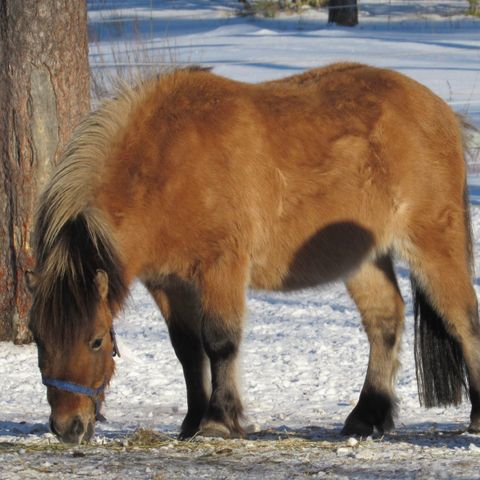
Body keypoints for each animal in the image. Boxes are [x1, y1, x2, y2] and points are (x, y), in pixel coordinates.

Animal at [27, 62, 480, 444]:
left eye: (96, 341)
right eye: (39, 339)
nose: (67, 427)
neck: (166, 163)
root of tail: (442, 113)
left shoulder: (221, 267)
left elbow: (219, 341)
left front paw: (217, 421)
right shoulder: (167, 283)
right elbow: (186, 349)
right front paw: (191, 422)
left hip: (432, 244)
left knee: (463, 320)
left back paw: (474, 417)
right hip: (363, 258)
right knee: (384, 320)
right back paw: (366, 417)